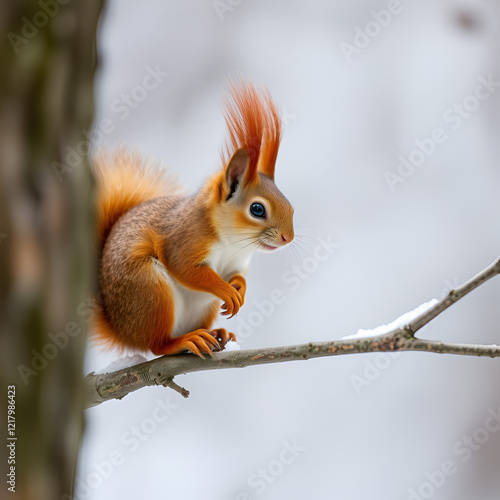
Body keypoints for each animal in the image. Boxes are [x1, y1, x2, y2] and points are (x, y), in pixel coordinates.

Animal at [94, 80, 292, 358]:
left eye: (290, 205)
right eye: (257, 209)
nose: (288, 238)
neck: (233, 242)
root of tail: (124, 333)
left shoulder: (236, 263)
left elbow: (237, 275)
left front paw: (239, 290)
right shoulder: (184, 239)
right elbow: (186, 269)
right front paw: (226, 290)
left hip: (201, 308)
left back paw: (217, 334)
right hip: (150, 289)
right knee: (158, 345)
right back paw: (186, 341)